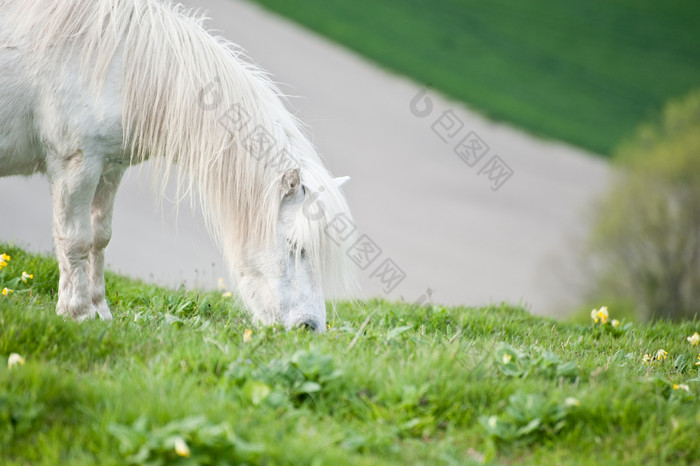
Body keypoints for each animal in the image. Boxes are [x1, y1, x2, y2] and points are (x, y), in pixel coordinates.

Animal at [0, 0, 356, 332]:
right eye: (296, 247)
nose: (310, 327)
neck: (121, 64)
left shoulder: (108, 168)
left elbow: (100, 237)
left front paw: (100, 310)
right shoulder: (77, 165)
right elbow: (75, 238)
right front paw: (78, 312)